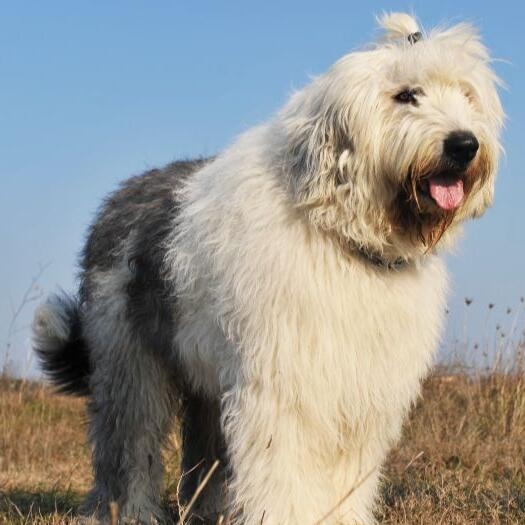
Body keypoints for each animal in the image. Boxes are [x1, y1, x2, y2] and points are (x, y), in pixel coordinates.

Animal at [32, 12, 504, 524]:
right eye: (405, 95)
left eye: (467, 95)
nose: (464, 144)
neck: (341, 234)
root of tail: (120, 195)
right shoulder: (285, 383)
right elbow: (282, 464)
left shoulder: (360, 389)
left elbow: (345, 470)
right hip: (129, 360)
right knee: (129, 441)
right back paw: (127, 511)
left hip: (206, 379)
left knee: (203, 452)